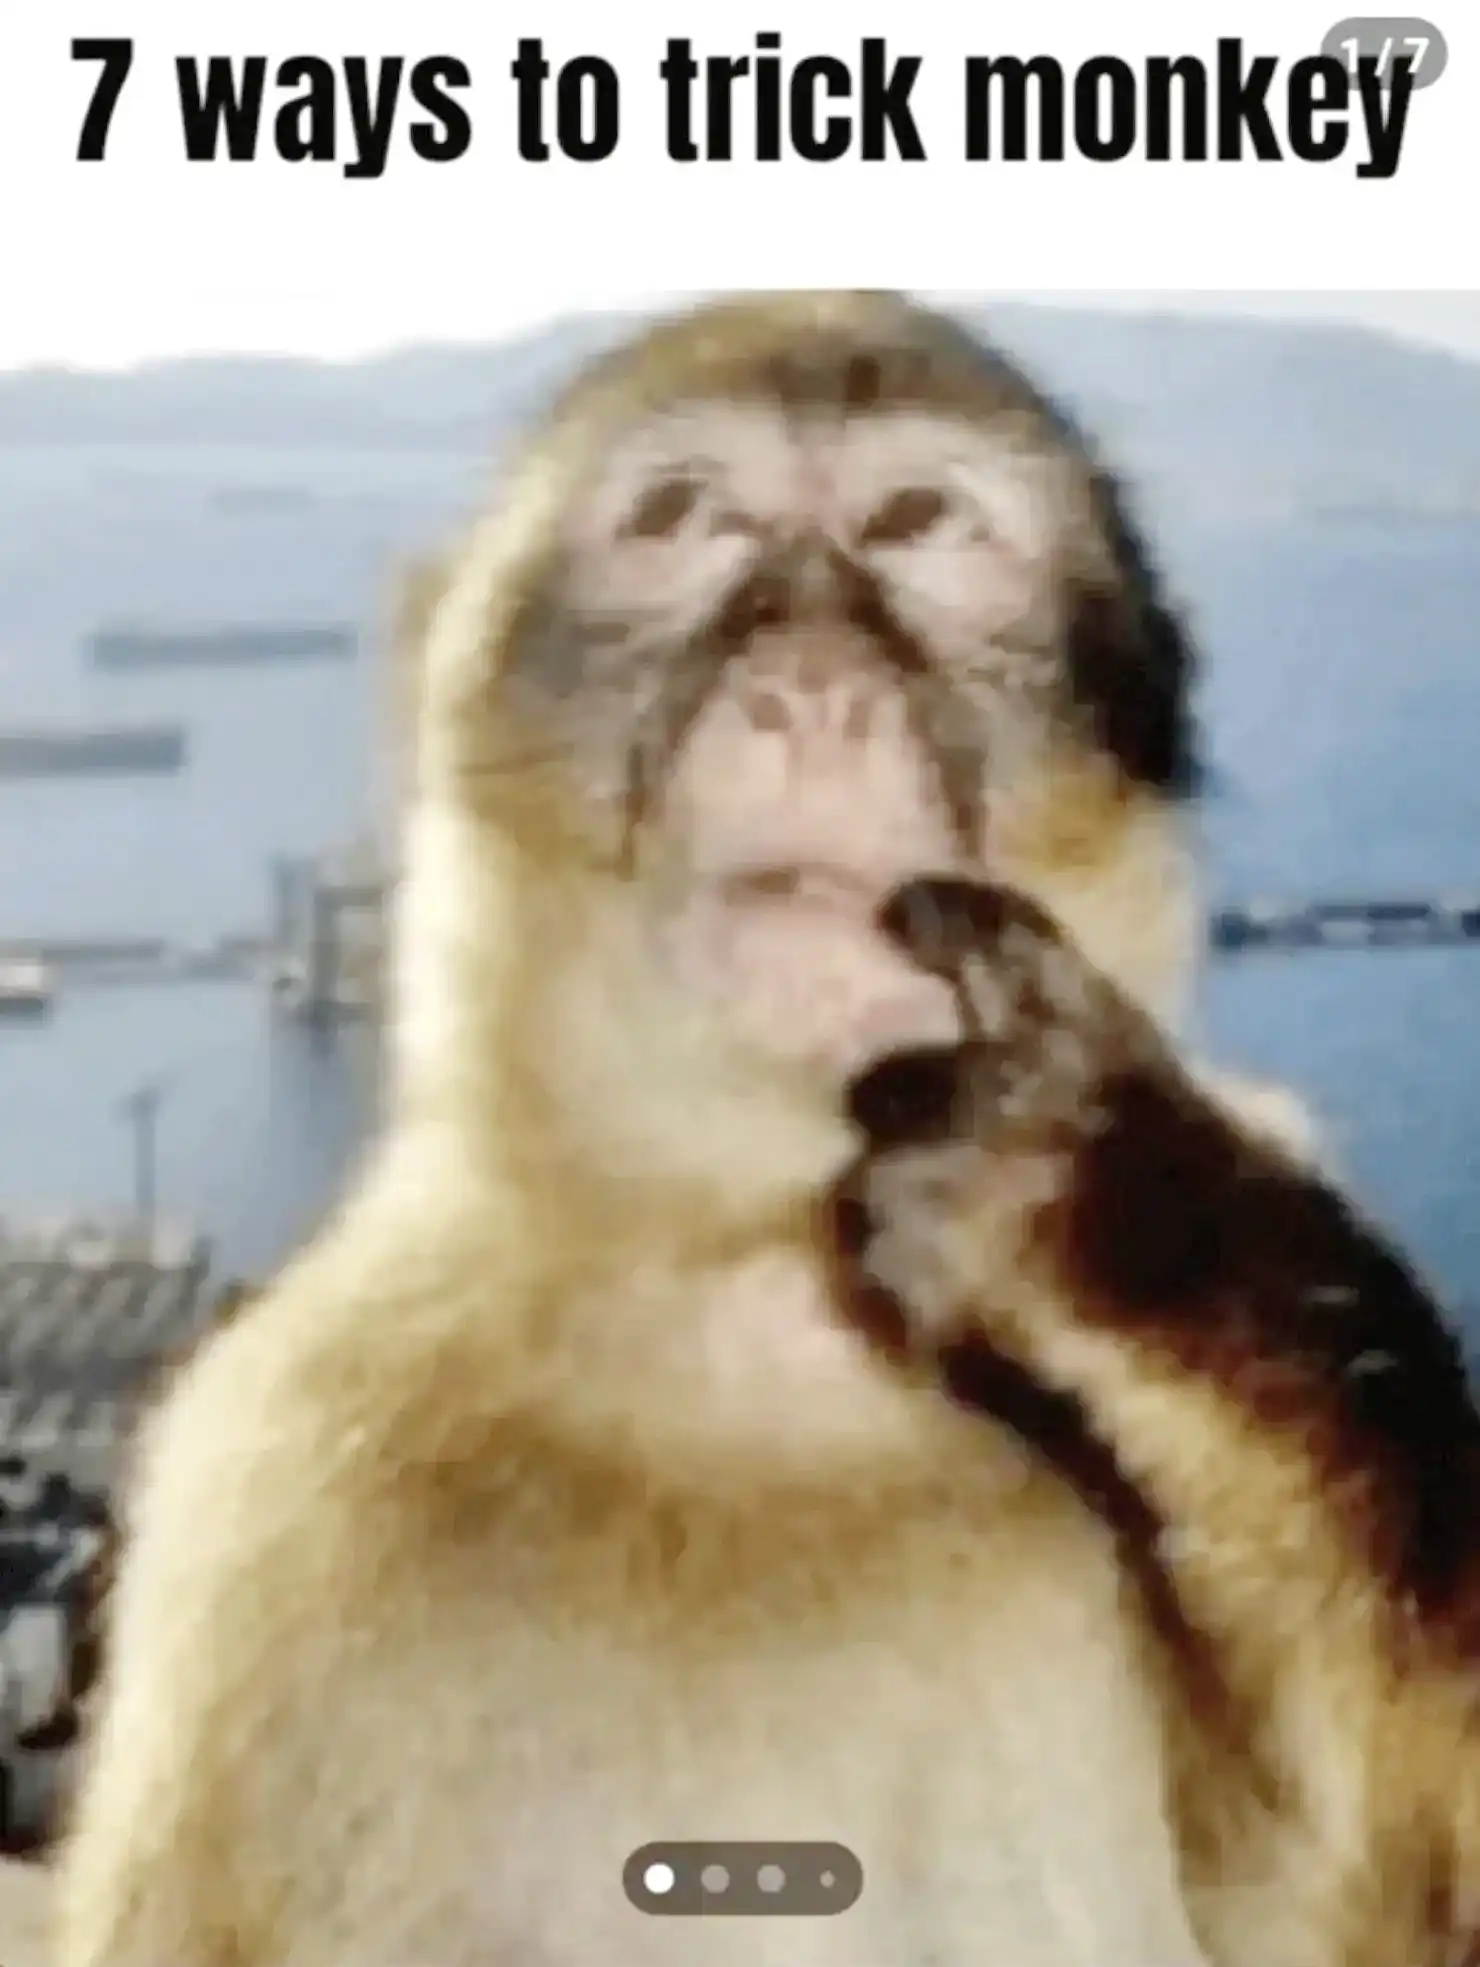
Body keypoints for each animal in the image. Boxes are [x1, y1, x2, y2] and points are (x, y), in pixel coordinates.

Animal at [55, 288, 1307, 1967]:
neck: (765, 1301)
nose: (815, 689)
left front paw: (1101, 1212)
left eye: (920, 522)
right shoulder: (272, 1482)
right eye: (684, 517)